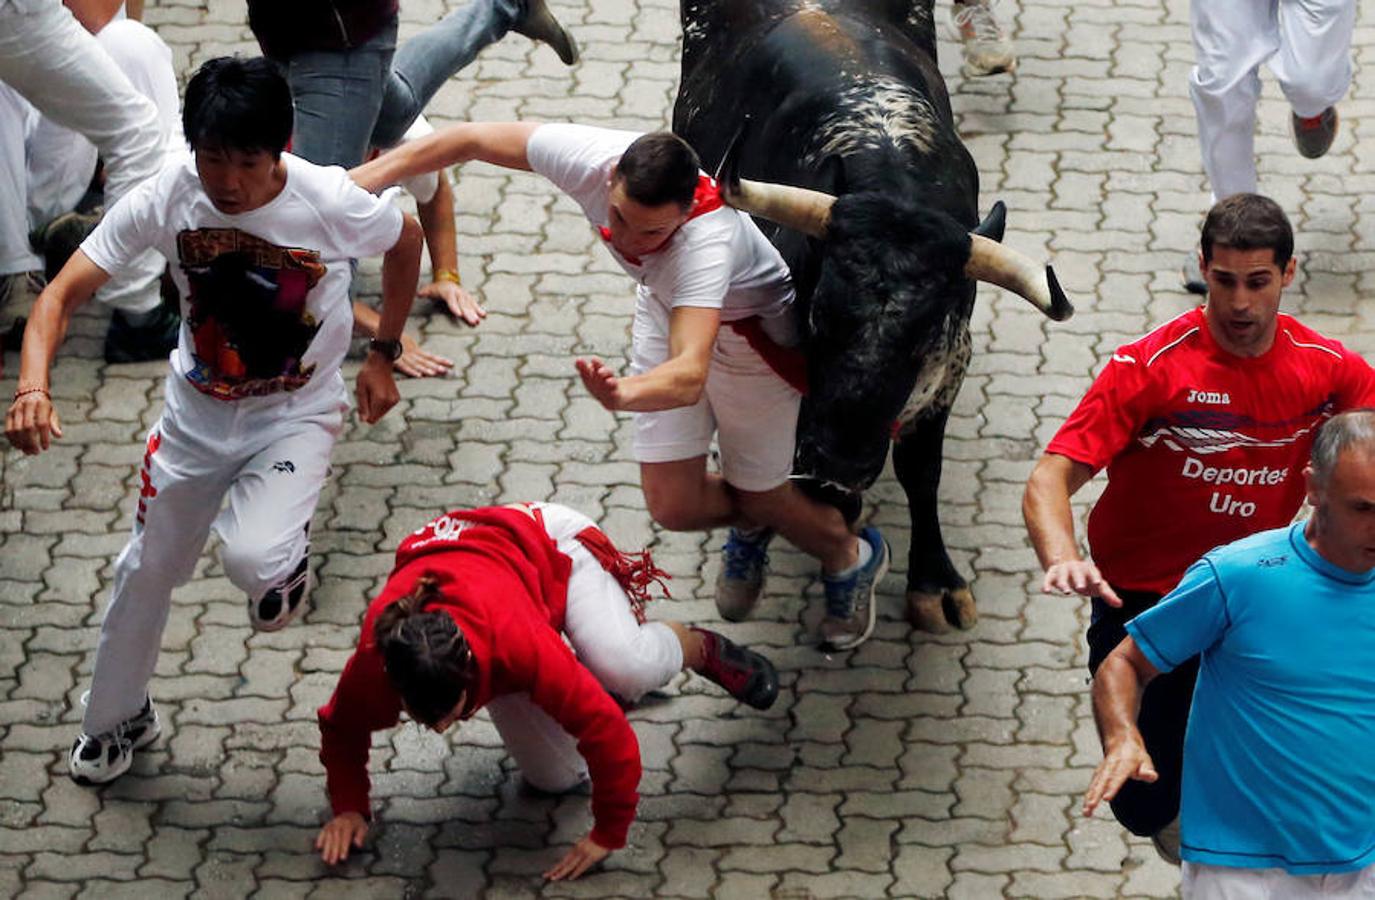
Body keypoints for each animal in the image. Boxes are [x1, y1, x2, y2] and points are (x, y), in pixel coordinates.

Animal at [671, 0, 1067, 634]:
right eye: (818, 314)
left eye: (925, 336)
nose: (840, 461)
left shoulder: (949, 367)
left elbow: (920, 467)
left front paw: (934, 582)